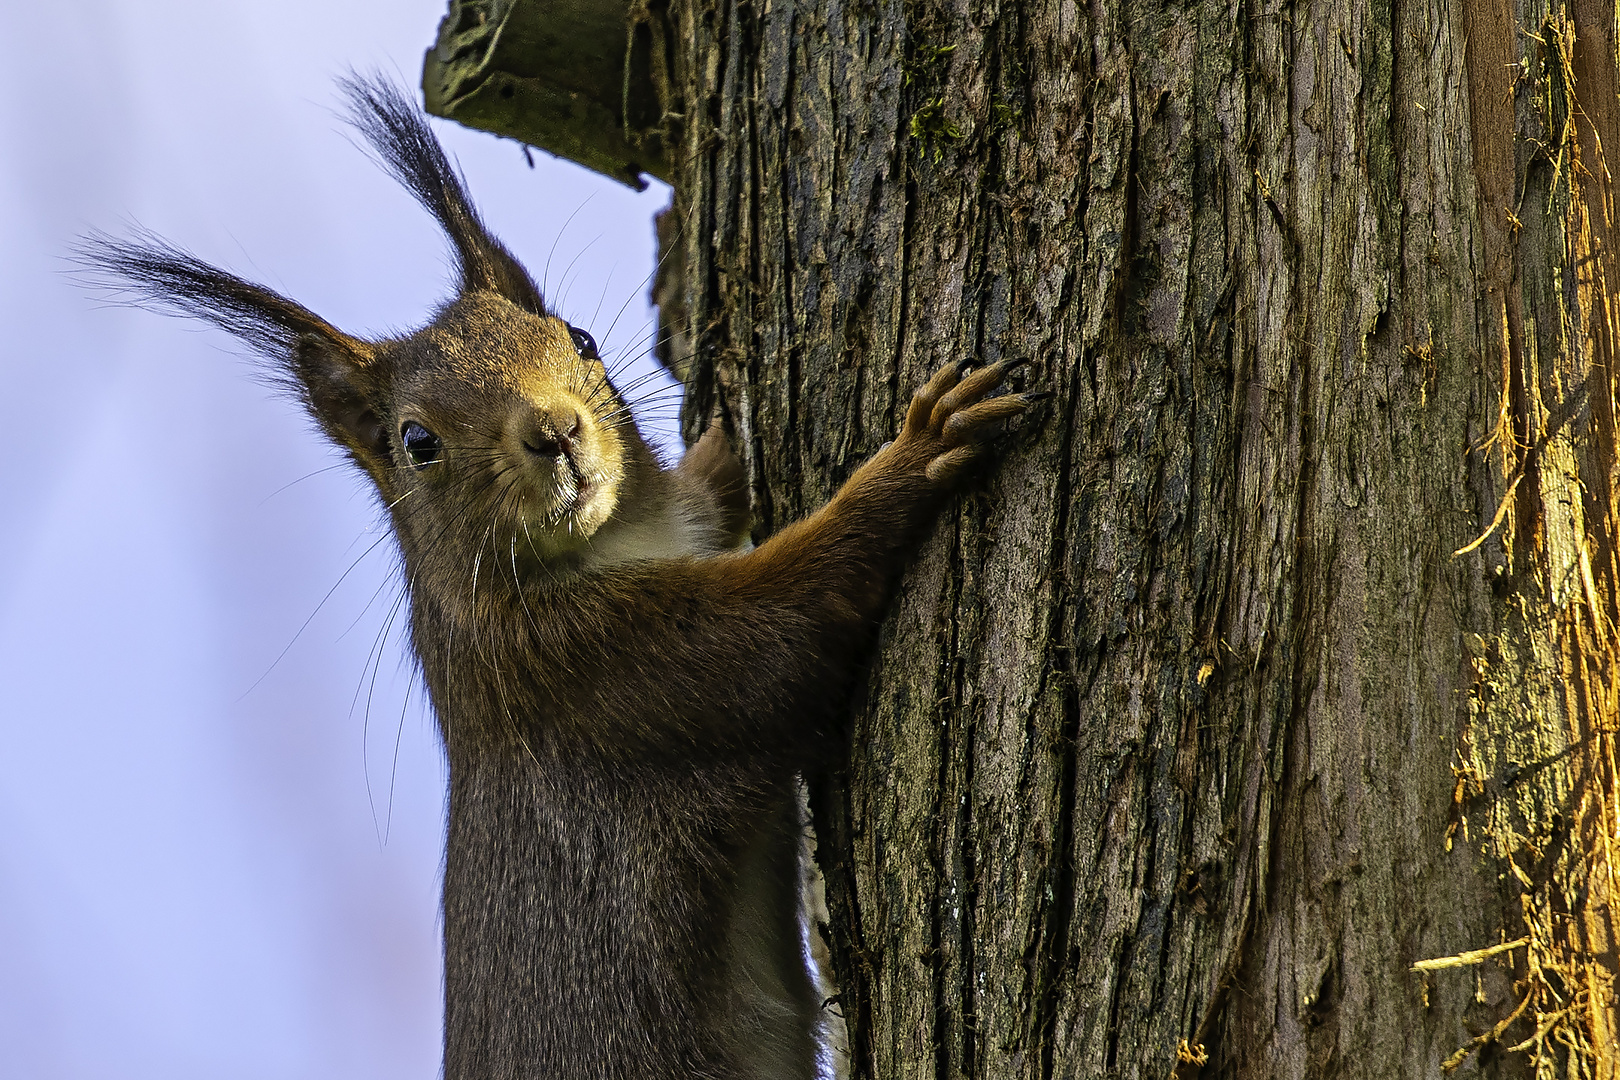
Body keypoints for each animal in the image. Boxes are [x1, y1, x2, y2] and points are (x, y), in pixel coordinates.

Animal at [88, 78, 1043, 1080]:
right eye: (416, 442)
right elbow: (796, 615)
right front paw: (920, 448)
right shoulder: (593, 665)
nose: (555, 430)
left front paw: (724, 434)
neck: (619, 536)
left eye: (579, 338)